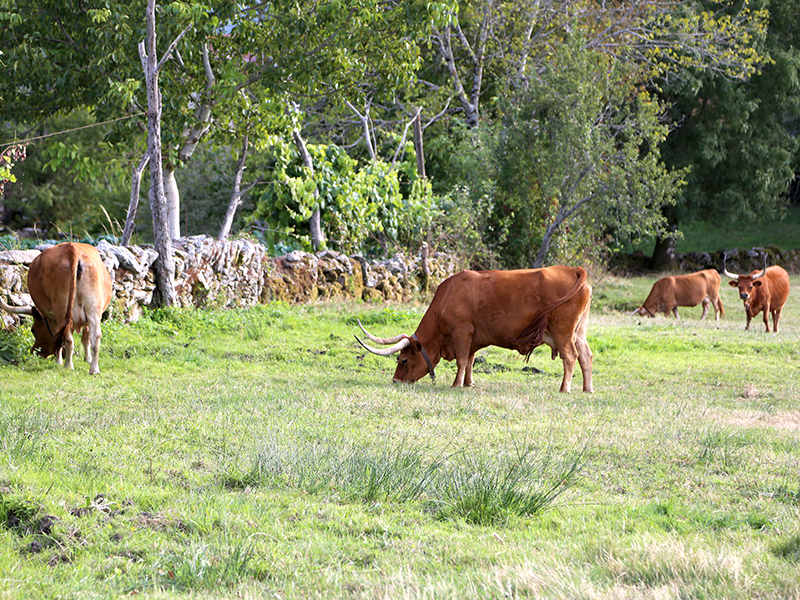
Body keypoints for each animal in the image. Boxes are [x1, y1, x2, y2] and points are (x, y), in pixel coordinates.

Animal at [0, 241, 113, 372]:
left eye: (33, 330)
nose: (34, 351)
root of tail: (72, 249)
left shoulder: (52, 316)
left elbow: (56, 336)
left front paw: (59, 361)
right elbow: (86, 337)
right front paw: (88, 359)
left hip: (61, 310)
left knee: (67, 338)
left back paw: (68, 365)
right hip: (93, 308)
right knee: (96, 337)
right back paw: (94, 369)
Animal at [356, 264, 592, 392]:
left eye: (403, 360)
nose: (396, 381)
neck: (447, 297)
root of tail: (573, 270)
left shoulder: (462, 332)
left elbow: (461, 360)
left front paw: (456, 384)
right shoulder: (472, 338)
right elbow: (469, 360)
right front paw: (468, 383)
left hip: (562, 332)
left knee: (570, 357)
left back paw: (565, 388)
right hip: (578, 332)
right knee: (585, 356)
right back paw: (587, 389)